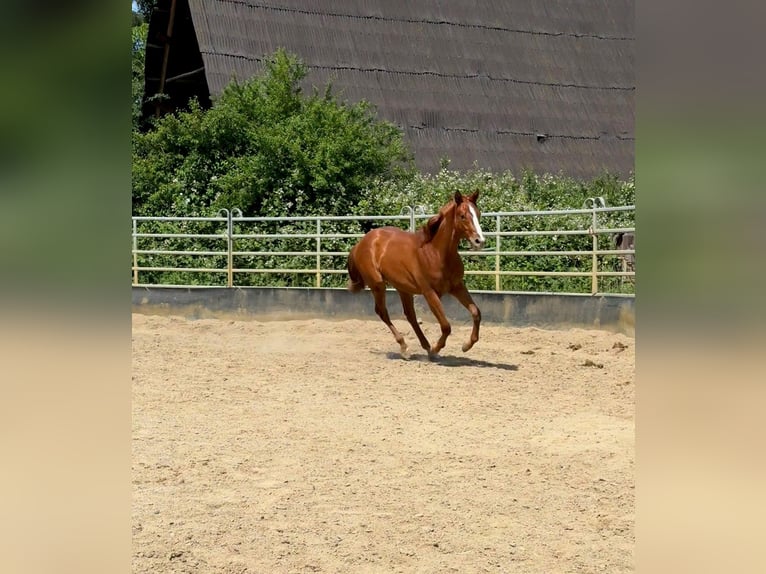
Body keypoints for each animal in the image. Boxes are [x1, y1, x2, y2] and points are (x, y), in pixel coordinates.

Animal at [347, 191, 486, 359]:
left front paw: (466, 346)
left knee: (410, 315)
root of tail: (360, 244)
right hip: (378, 285)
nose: (479, 241)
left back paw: (424, 346)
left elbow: (476, 312)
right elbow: (446, 326)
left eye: (478, 213)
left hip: (403, 288)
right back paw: (405, 347)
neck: (436, 253)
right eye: (462, 215)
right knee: (382, 312)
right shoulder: (429, 292)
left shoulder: (457, 287)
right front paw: (436, 349)